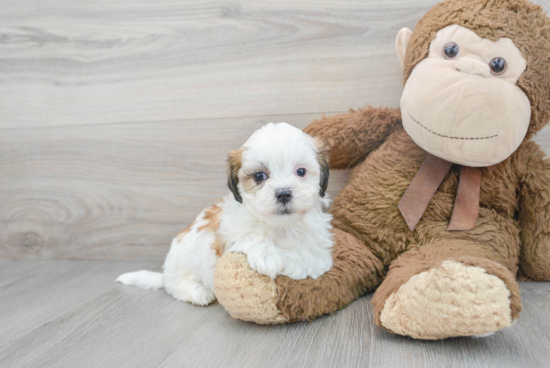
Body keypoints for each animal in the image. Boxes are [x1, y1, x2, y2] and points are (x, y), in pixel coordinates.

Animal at [118, 122, 334, 306]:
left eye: (301, 171)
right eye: (259, 176)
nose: (283, 193)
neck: (280, 226)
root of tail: (165, 274)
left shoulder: (318, 248)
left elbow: (312, 259)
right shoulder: (227, 234)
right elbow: (249, 236)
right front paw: (268, 255)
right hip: (180, 267)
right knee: (175, 286)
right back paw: (197, 292)